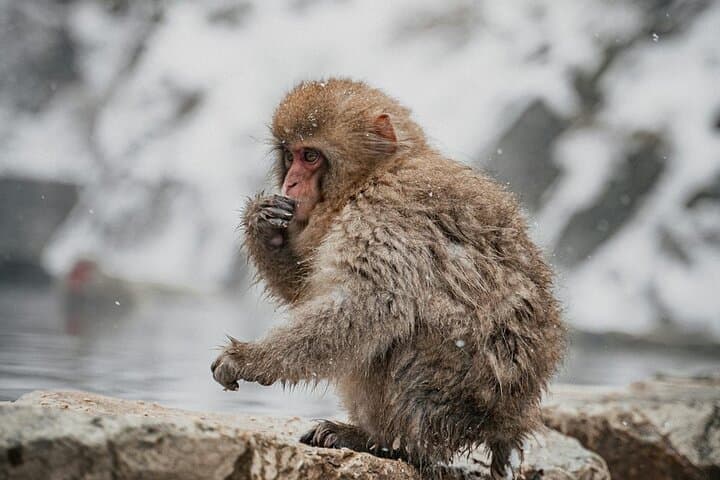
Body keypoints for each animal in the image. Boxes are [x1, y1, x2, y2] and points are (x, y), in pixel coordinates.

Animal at [211, 78, 566, 479]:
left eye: (311, 157)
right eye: (290, 155)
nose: (291, 182)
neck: (374, 175)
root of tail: (508, 423)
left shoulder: (387, 211)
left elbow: (372, 304)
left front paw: (248, 359)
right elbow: (306, 288)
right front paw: (263, 224)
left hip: (458, 395)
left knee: (408, 336)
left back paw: (382, 441)